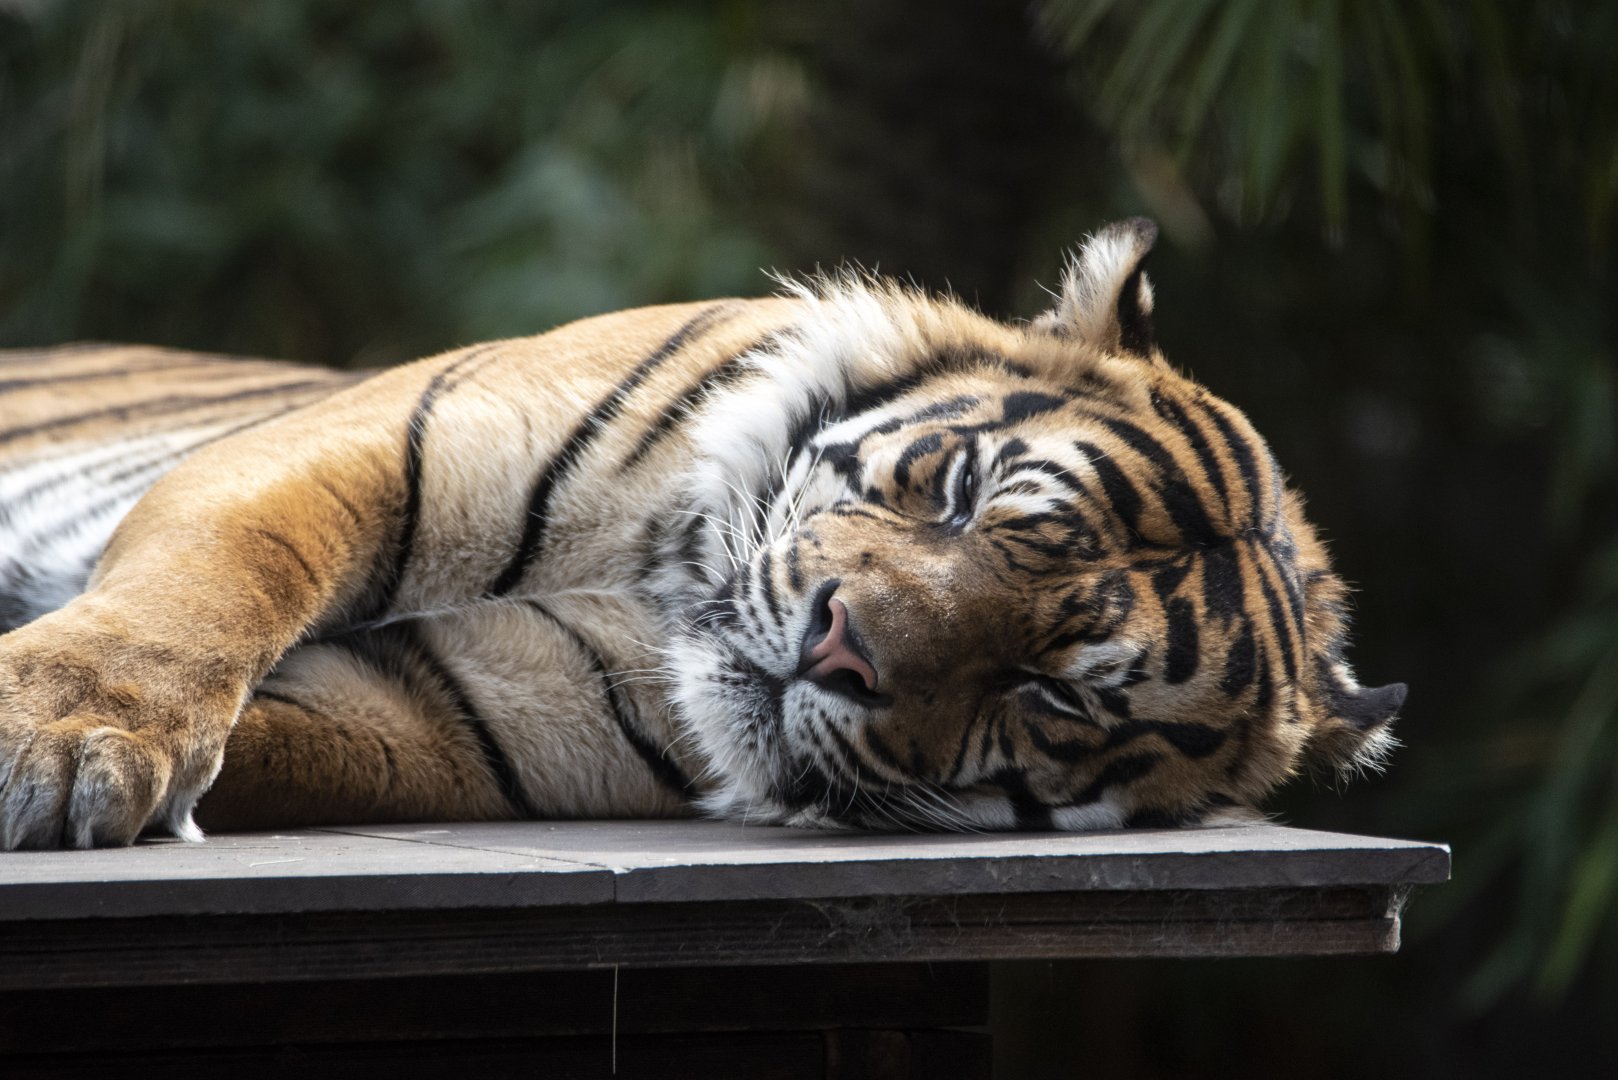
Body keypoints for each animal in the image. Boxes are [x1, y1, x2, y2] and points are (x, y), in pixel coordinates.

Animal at [0, 219, 1404, 850]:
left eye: (1050, 695)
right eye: (958, 490)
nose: (840, 648)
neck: (665, 584)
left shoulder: (436, 715)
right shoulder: (367, 442)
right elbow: (213, 580)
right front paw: (66, 739)